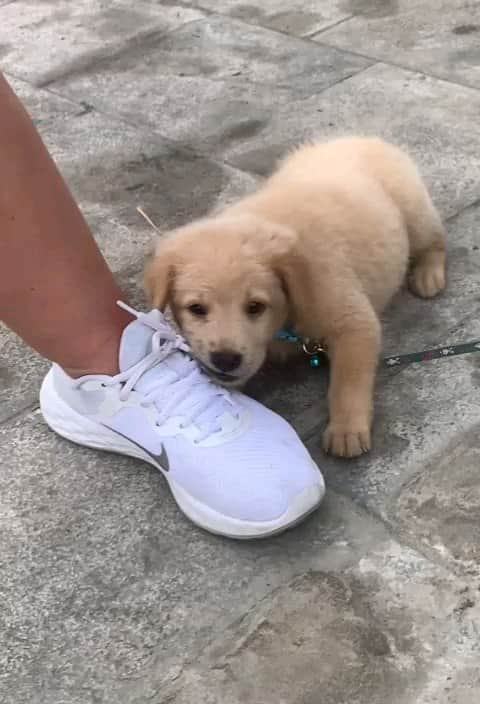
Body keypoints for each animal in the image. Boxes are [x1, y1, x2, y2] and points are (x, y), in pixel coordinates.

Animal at [143, 137, 446, 460]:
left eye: (255, 307)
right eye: (196, 308)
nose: (226, 359)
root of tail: (361, 138)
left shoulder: (353, 322)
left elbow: (348, 380)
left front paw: (347, 429)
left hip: (414, 212)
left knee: (436, 238)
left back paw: (428, 274)